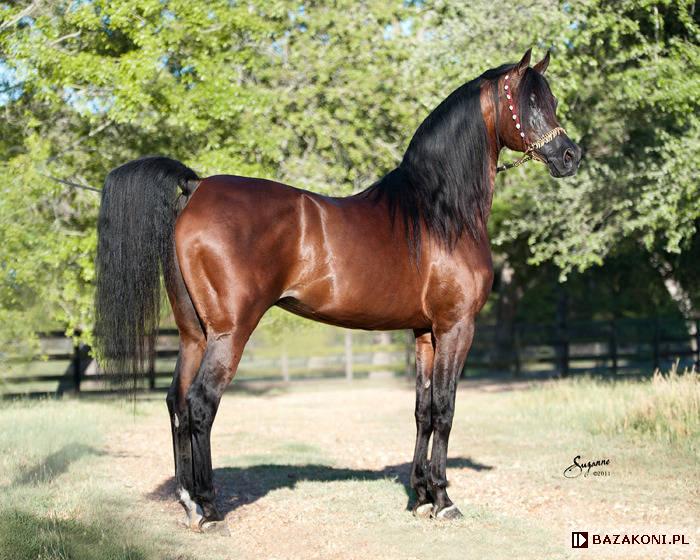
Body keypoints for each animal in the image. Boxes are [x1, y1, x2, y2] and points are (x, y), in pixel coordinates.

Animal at [94, 48, 581, 531]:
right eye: (529, 102)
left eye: (552, 100)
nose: (570, 155)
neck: (438, 212)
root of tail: (195, 187)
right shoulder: (456, 327)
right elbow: (445, 408)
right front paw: (444, 500)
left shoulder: (425, 332)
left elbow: (422, 410)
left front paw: (421, 497)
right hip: (229, 334)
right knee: (200, 404)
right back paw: (210, 510)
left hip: (194, 333)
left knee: (176, 401)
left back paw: (188, 501)